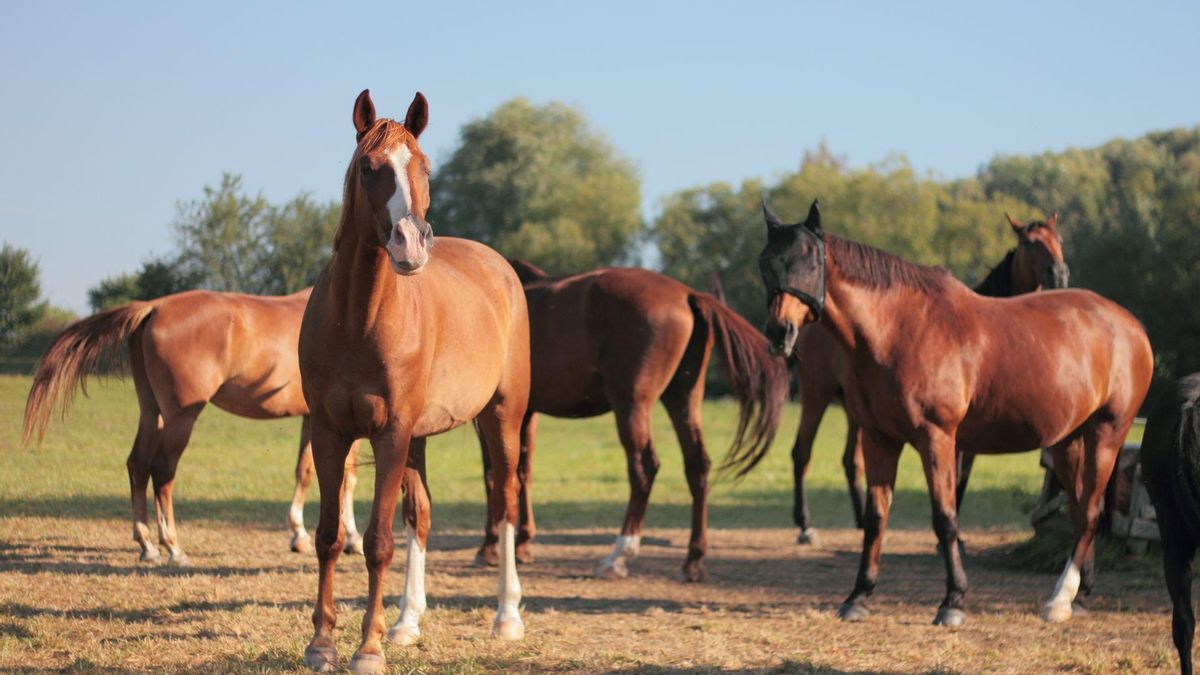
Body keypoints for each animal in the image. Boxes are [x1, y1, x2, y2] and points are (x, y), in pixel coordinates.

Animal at [21, 289, 363, 564]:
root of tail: (154, 307)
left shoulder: (311, 419)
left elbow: (305, 472)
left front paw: (299, 534)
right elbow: (346, 477)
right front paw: (351, 539)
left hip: (152, 412)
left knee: (138, 464)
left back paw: (148, 545)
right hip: (181, 418)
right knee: (162, 470)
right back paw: (173, 547)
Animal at [296, 89, 531, 674]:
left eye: (424, 167)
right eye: (369, 167)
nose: (411, 244)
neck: (358, 320)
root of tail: (500, 268)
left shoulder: (390, 433)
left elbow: (378, 541)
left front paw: (368, 648)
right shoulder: (330, 432)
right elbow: (330, 536)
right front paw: (323, 642)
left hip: (502, 418)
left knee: (506, 503)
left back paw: (506, 617)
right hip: (420, 438)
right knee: (419, 516)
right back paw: (406, 621)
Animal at [472, 260, 789, 582]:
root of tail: (687, 294)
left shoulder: (492, 414)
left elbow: (494, 474)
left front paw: (490, 547)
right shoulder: (527, 413)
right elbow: (522, 470)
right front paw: (523, 543)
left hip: (631, 403)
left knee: (643, 468)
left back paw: (618, 555)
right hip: (682, 399)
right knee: (697, 464)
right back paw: (693, 559)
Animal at [789, 213, 1069, 544]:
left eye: (1058, 239)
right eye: (1028, 242)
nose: (1059, 273)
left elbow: (961, 478)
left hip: (855, 413)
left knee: (850, 461)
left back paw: (859, 519)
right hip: (816, 395)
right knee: (801, 453)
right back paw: (805, 525)